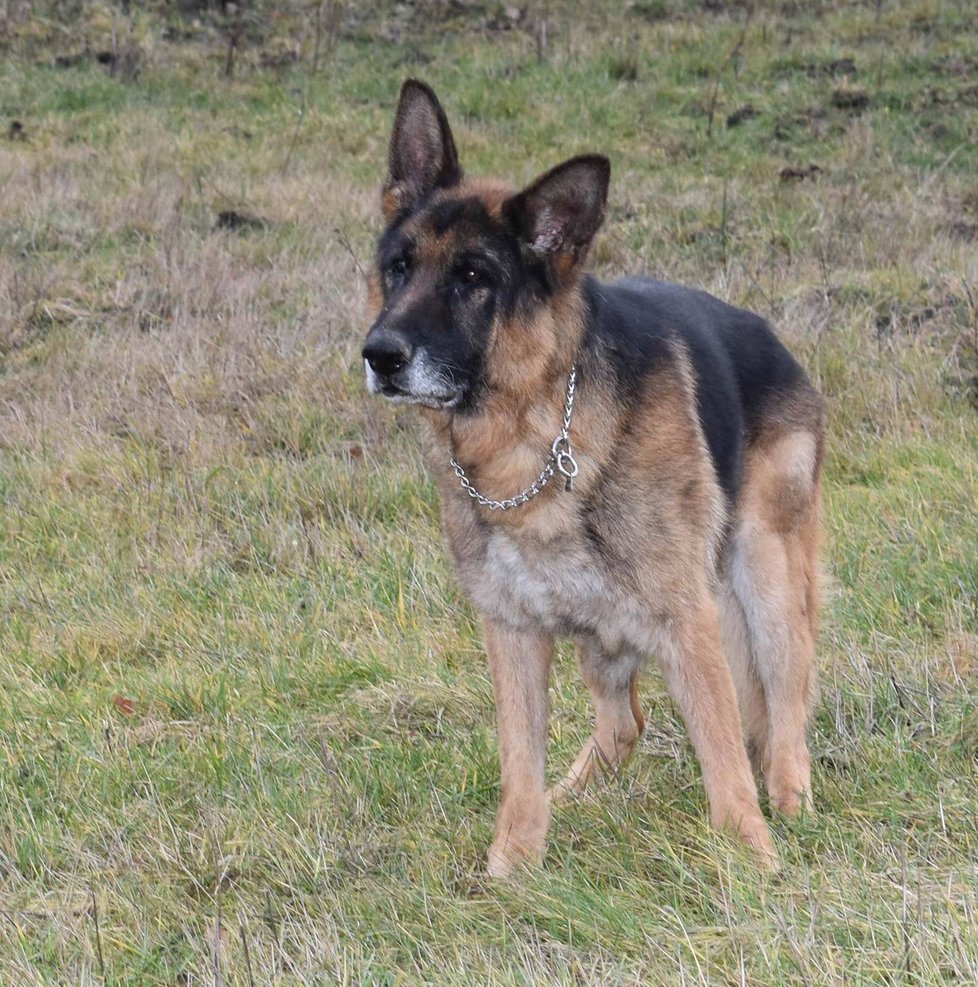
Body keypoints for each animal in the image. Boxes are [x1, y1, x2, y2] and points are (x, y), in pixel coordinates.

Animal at [362, 79, 820, 880]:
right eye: (398, 267)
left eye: (474, 279)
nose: (379, 354)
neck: (531, 440)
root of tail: (772, 336)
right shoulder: (512, 630)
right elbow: (519, 761)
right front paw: (513, 863)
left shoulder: (685, 620)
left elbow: (724, 753)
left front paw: (750, 858)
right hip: (601, 625)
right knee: (626, 720)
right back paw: (573, 796)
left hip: (762, 575)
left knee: (785, 700)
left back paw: (790, 795)